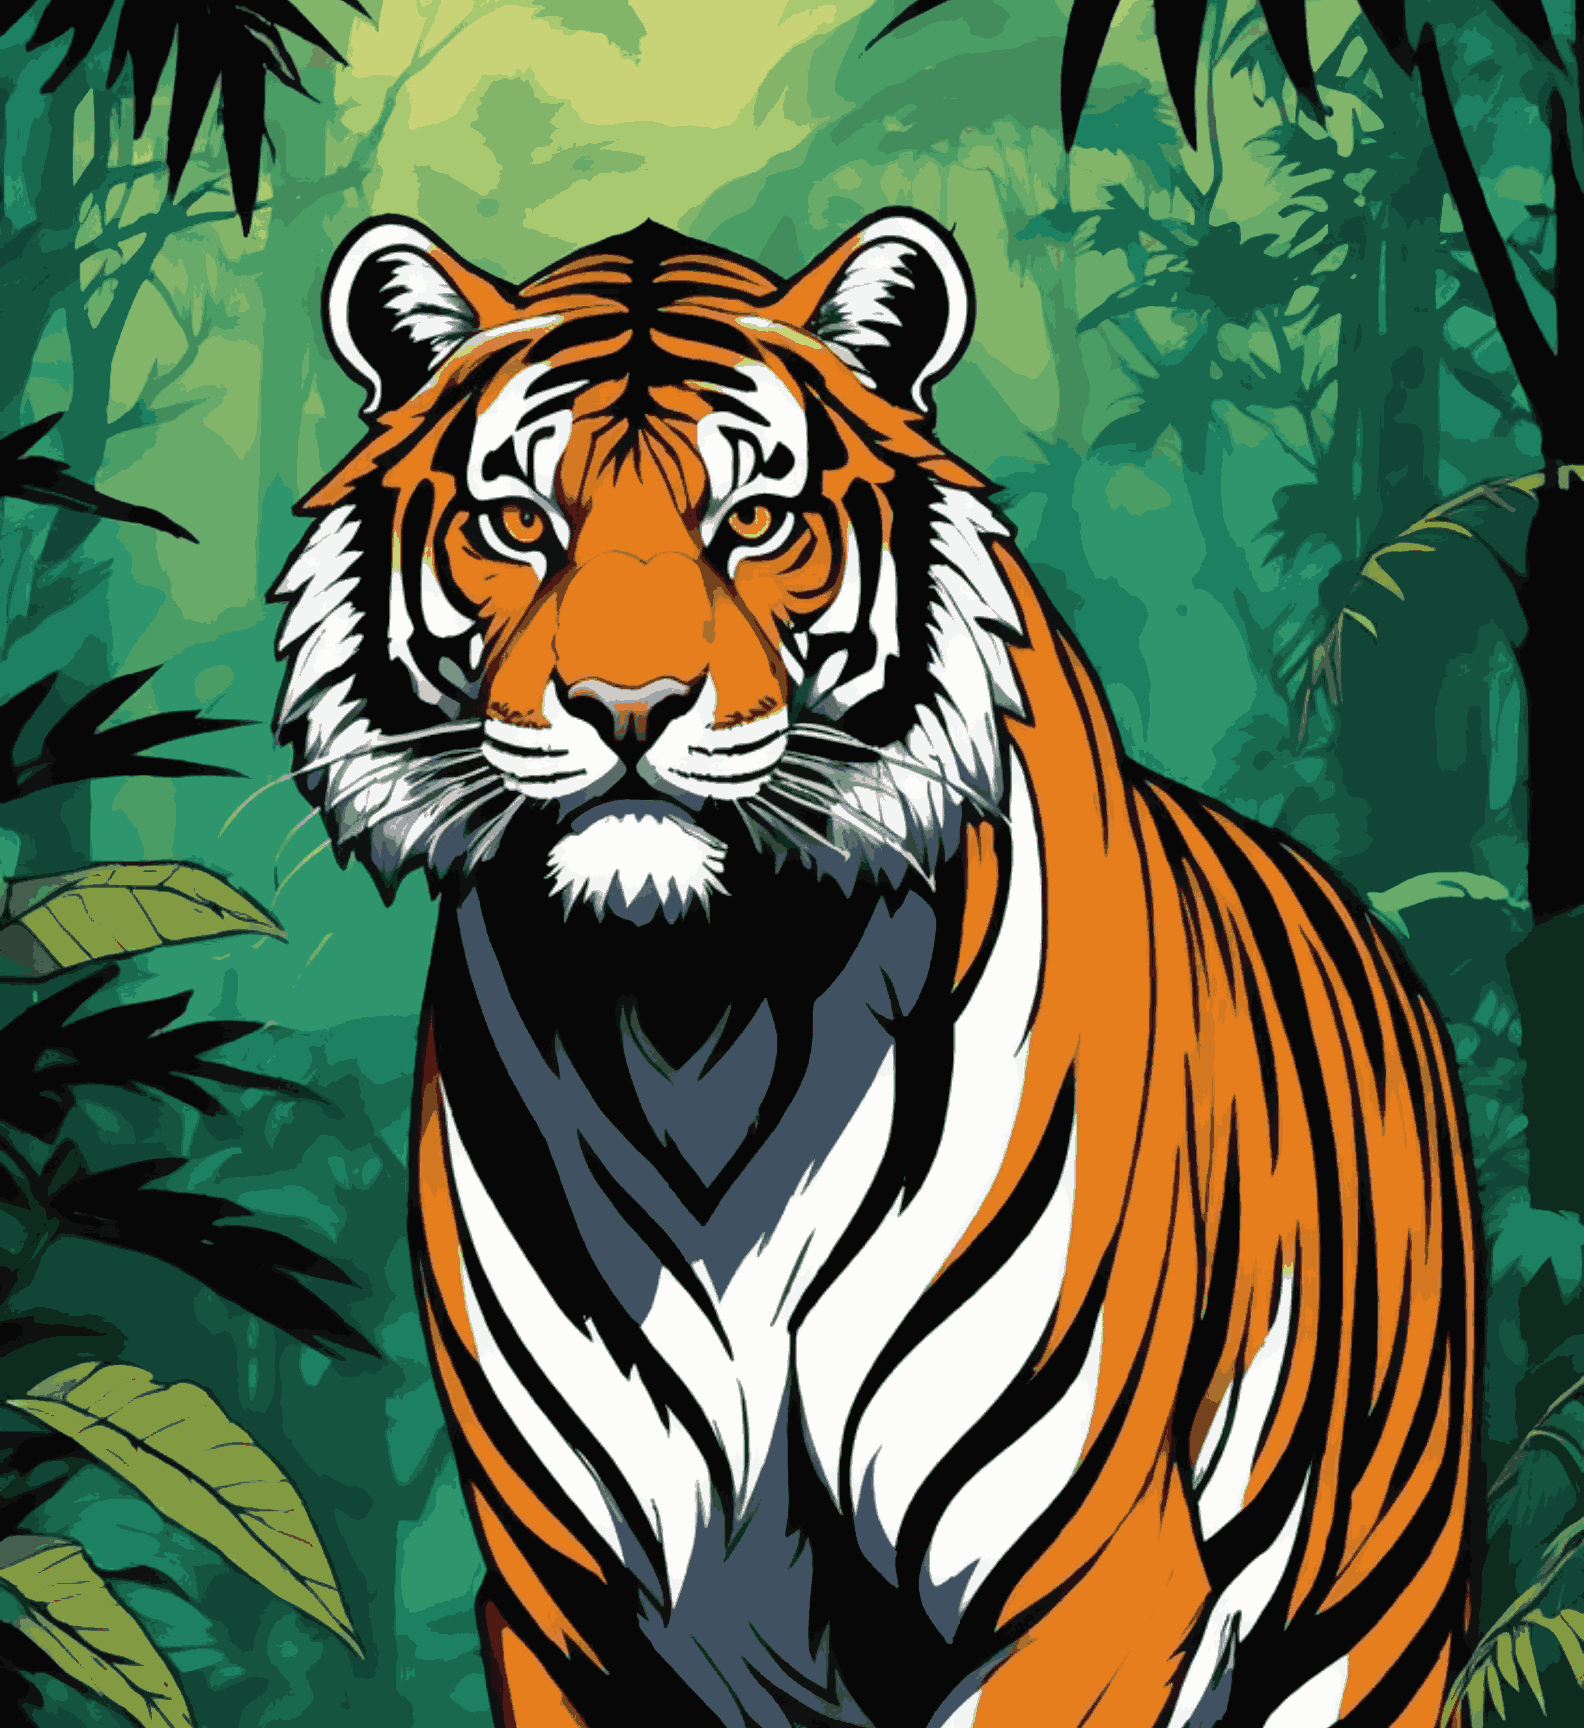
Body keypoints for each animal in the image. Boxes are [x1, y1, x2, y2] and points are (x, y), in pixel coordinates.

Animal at [271, 207, 1478, 1728]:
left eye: (753, 522)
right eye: (519, 524)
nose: (625, 708)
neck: (694, 1018)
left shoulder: (1093, 1582)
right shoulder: (571, 1613)